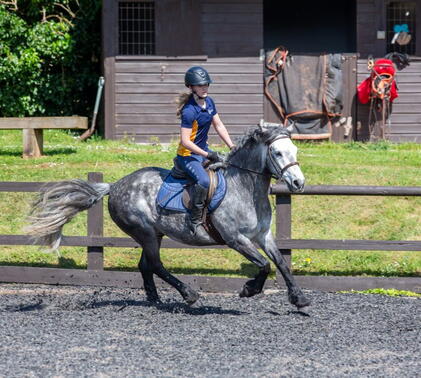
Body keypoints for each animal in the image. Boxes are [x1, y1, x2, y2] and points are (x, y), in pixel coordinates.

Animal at [26, 125, 308, 308]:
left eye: (294, 149)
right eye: (277, 153)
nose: (298, 183)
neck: (245, 188)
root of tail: (114, 186)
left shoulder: (263, 235)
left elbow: (281, 263)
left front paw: (299, 299)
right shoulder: (235, 239)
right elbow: (264, 265)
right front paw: (249, 289)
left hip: (154, 234)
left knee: (145, 265)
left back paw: (155, 299)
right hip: (145, 232)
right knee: (156, 264)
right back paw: (189, 295)